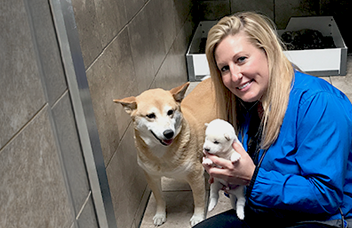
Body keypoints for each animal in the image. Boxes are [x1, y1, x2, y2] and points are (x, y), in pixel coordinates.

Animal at [113, 78, 217, 226]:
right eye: (150, 115)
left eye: (170, 112)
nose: (168, 133)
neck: (162, 154)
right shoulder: (151, 176)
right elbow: (159, 198)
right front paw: (160, 214)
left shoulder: (195, 175)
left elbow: (199, 200)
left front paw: (197, 217)